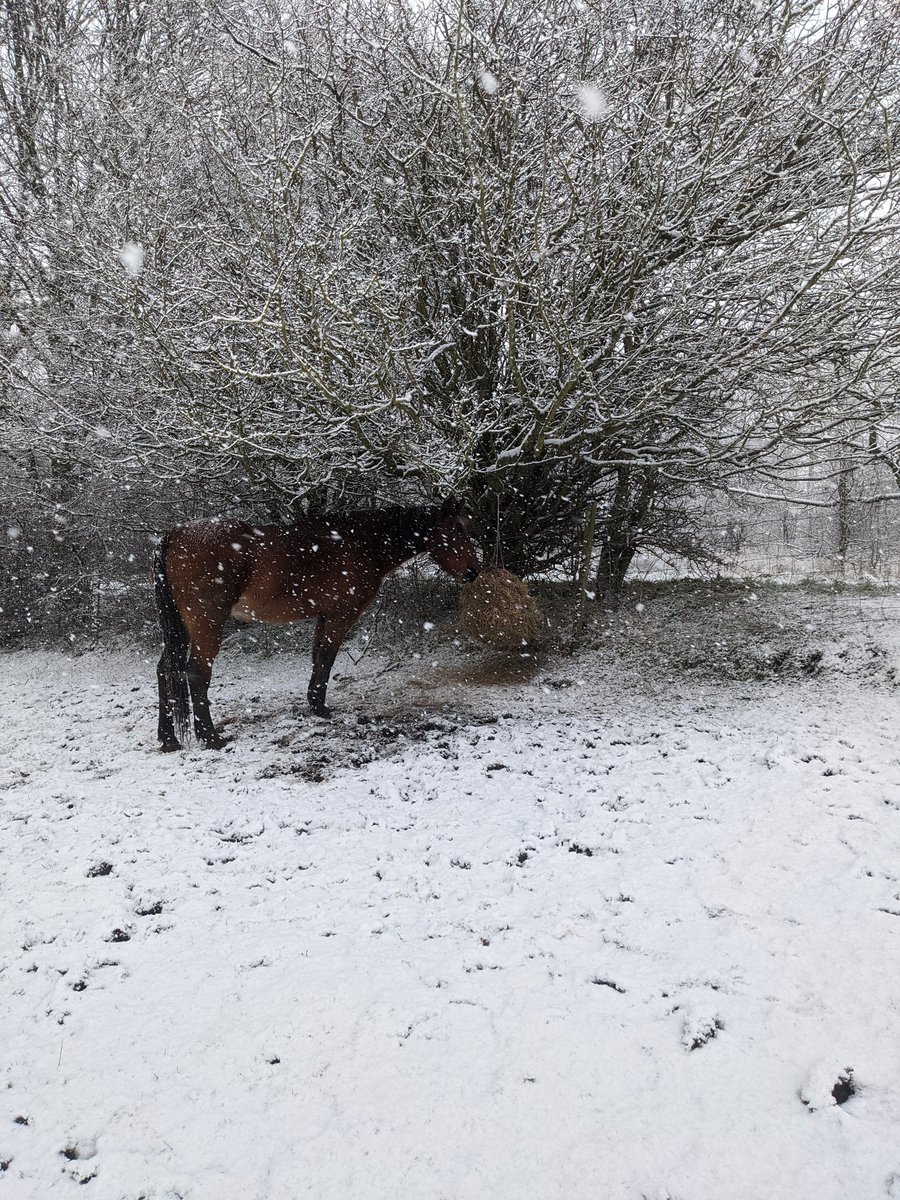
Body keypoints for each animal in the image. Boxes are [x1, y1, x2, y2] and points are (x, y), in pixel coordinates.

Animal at [153, 497, 481, 750]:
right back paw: (211, 738)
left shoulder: (323, 616)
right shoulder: (341, 615)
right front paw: (321, 708)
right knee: (196, 673)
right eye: (452, 529)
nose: (473, 572)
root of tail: (175, 535)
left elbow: (317, 658)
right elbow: (326, 657)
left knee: (165, 670)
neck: (358, 542)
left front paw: (314, 704)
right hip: (207, 623)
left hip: (182, 627)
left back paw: (169, 739)